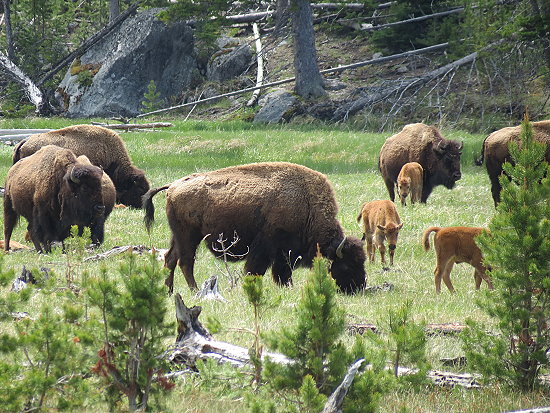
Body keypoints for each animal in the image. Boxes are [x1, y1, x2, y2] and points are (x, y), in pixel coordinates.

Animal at [143, 161, 366, 292]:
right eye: (347, 264)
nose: (358, 288)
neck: (307, 205)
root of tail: (172, 186)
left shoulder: (284, 253)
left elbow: (282, 273)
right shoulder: (267, 248)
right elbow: (258, 270)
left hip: (178, 236)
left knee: (170, 259)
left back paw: (169, 290)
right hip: (189, 236)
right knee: (186, 262)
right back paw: (195, 290)